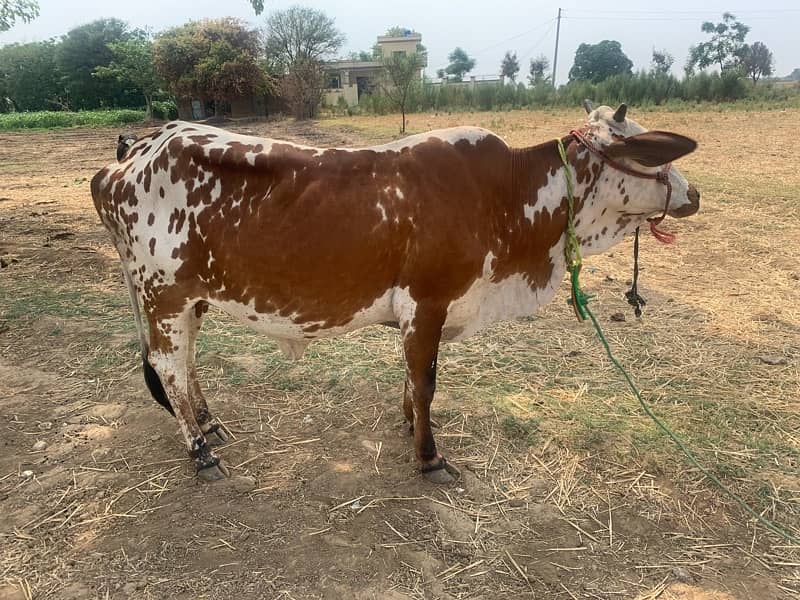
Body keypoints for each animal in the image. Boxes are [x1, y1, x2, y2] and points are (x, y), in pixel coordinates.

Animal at [89, 104, 700, 482]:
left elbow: (413, 379)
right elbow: (426, 382)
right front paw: (428, 456)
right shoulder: (427, 303)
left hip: (188, 301)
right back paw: (200, 452)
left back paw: (209, 423)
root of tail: (134, 153)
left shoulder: (424, 312)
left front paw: (409, 425)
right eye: (653, 154)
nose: (693, 194)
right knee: (169, 368)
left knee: (186, 366)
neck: (504, 196)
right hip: (163, 296)